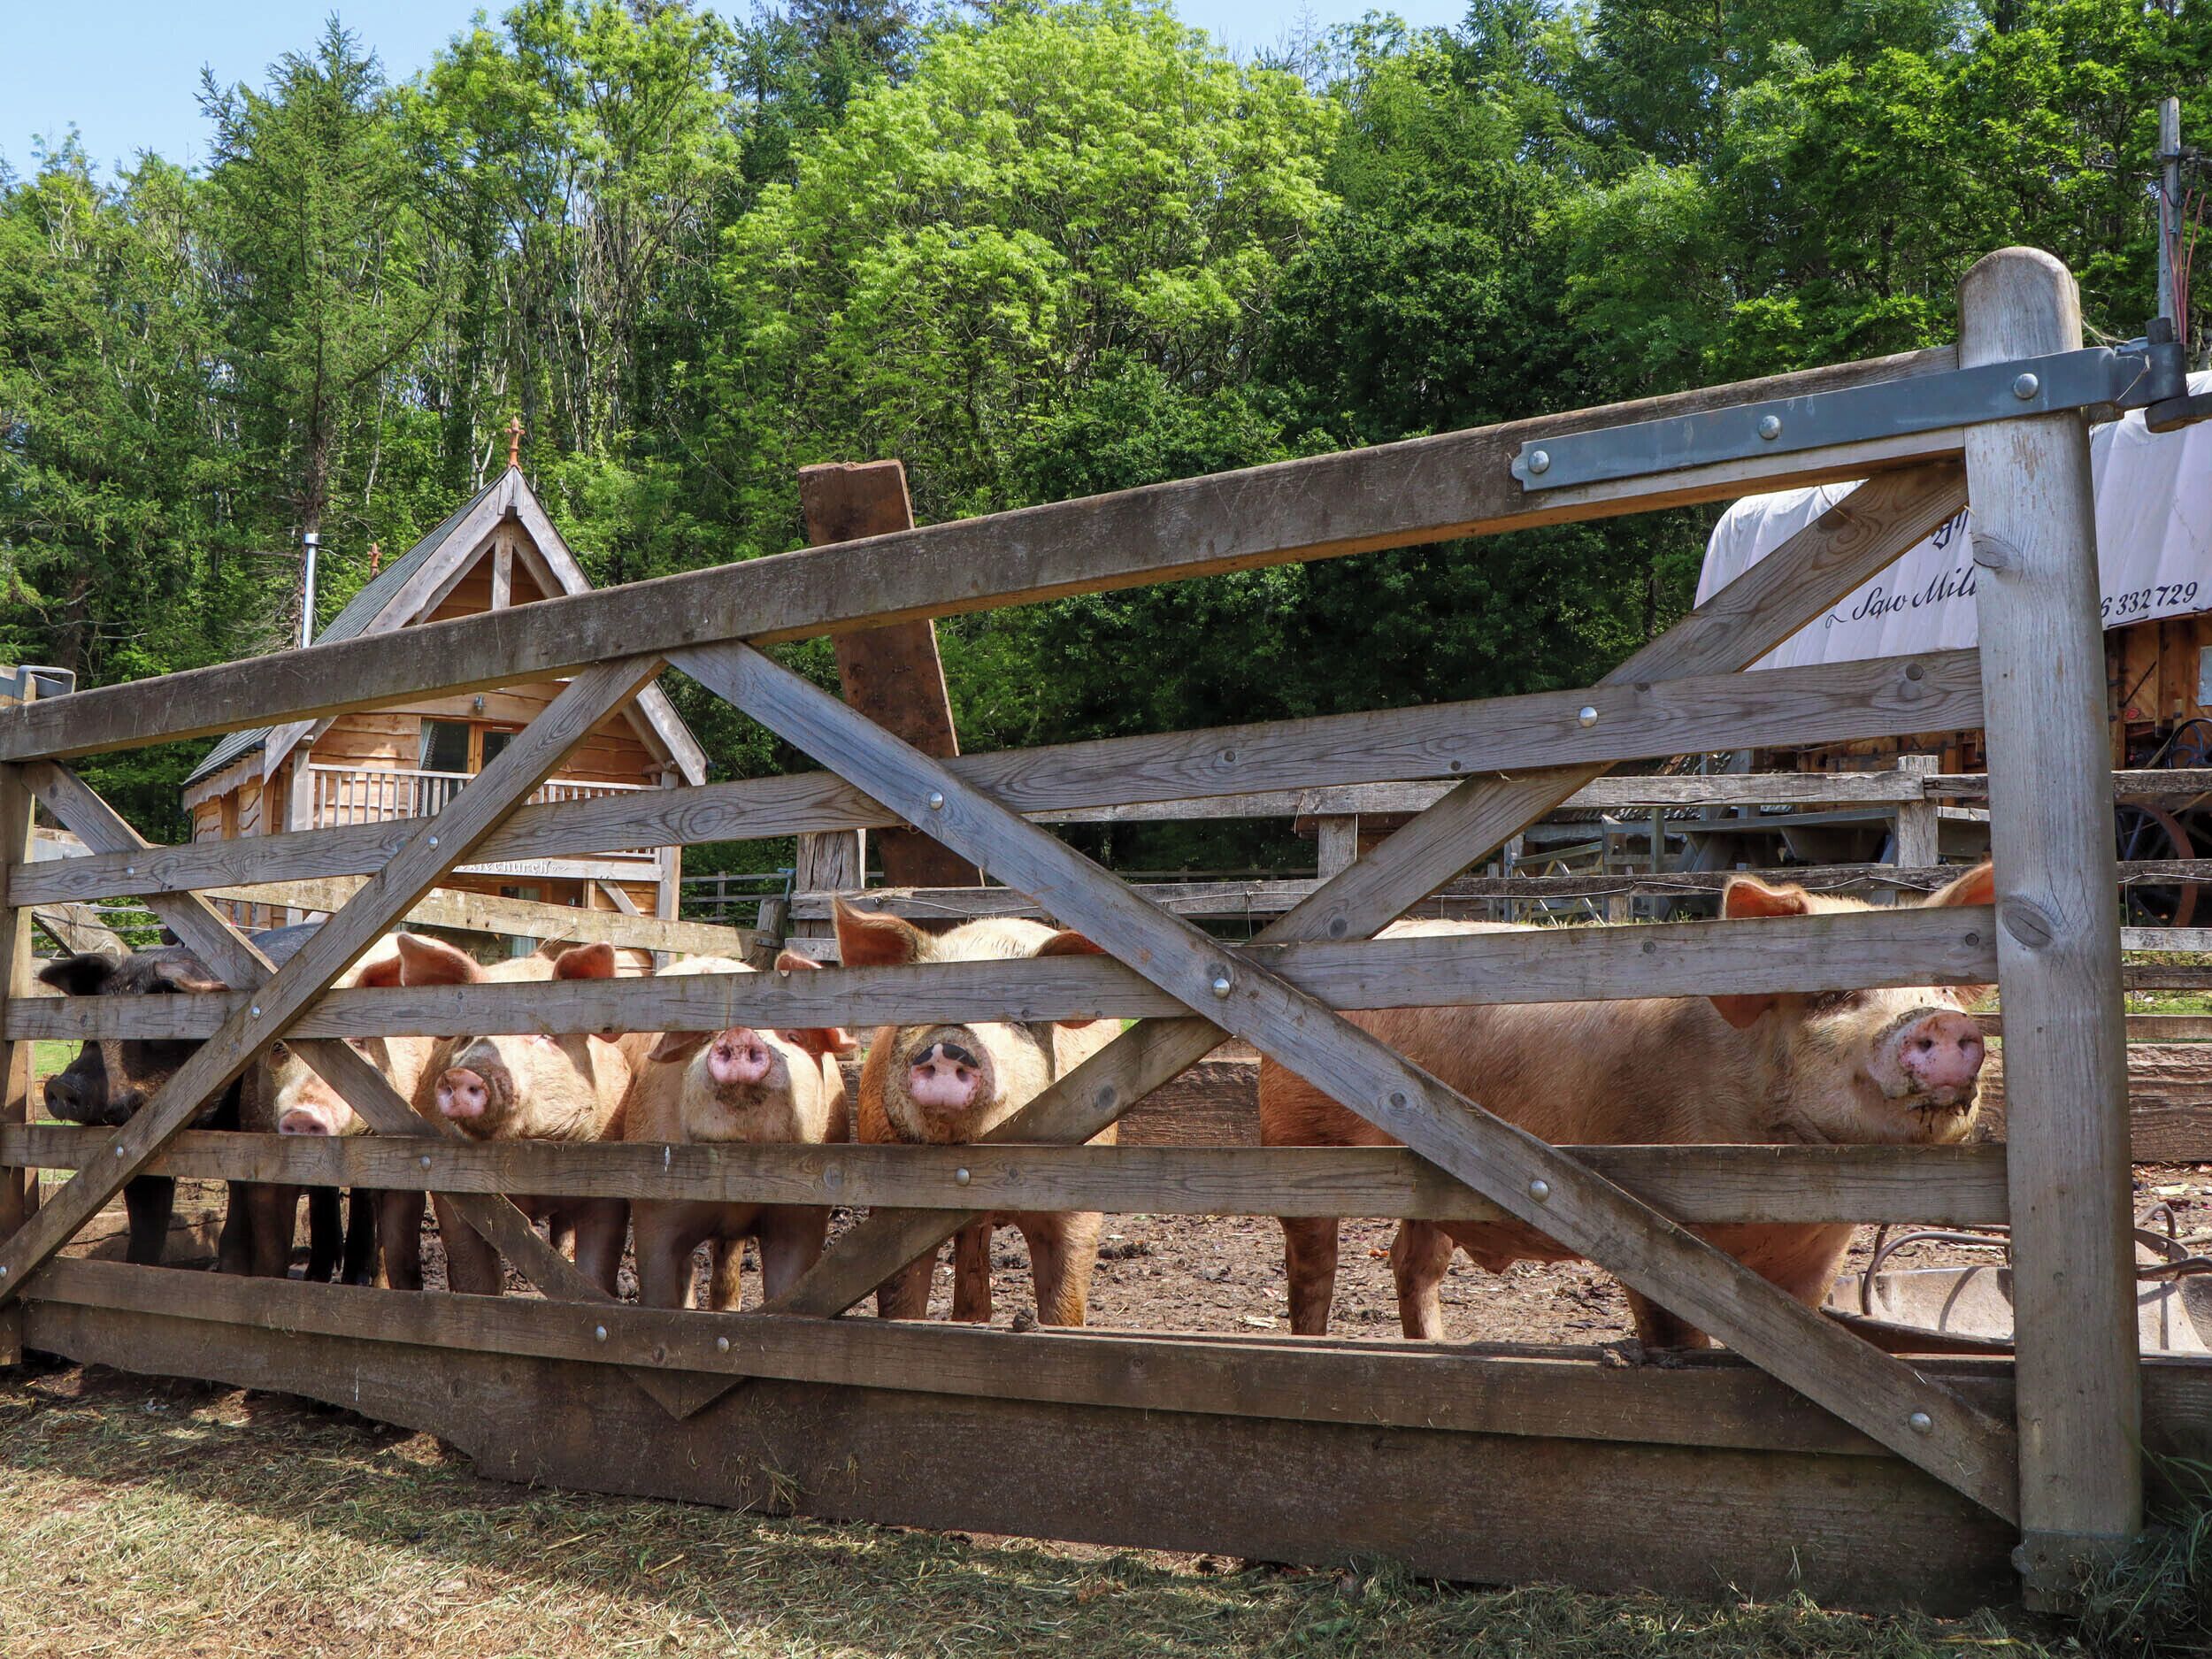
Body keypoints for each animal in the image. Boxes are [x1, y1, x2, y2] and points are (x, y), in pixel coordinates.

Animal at [392, 934, 633, 1296]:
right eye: (467, 1036)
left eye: (544, 1035)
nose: (462, 1074)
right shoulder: (450, 1190)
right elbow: (474, 1272)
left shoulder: (609, 1188)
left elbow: (597, 1270)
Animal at [621, 953, 854, 1309]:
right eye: (705, 1036)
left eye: (794, 1036)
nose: (741, 1033)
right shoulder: (653, 1202)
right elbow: (658, 1285)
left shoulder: (805, 1214)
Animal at [1259, 863, 1996, 1349]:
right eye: (1831, 995)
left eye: (1942, 987)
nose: (1941, 1021)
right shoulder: (1652, 1230)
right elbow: (1677, 1341)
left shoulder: (1820, 1253)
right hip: (1297, 1137)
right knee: (1313, 1259)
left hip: (1433, 1176)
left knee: (1411, 1259)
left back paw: (1435, 1349)